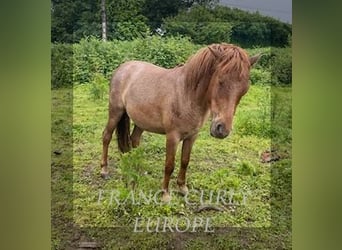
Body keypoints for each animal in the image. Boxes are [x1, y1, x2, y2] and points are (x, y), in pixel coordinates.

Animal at [100, 43, 260, 203]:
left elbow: (185, 161)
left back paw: (137, 166)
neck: (186, 94)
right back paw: (104, 170)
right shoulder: (172, 136)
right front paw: (165, 194)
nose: (222, 130)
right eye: (220, 81)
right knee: (106, 136)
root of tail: (123, 67)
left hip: (141, 121)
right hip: (115, 112)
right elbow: (169, 164)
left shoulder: (192, 136)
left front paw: (182, 188)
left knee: (134, 140)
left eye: (245, 89)